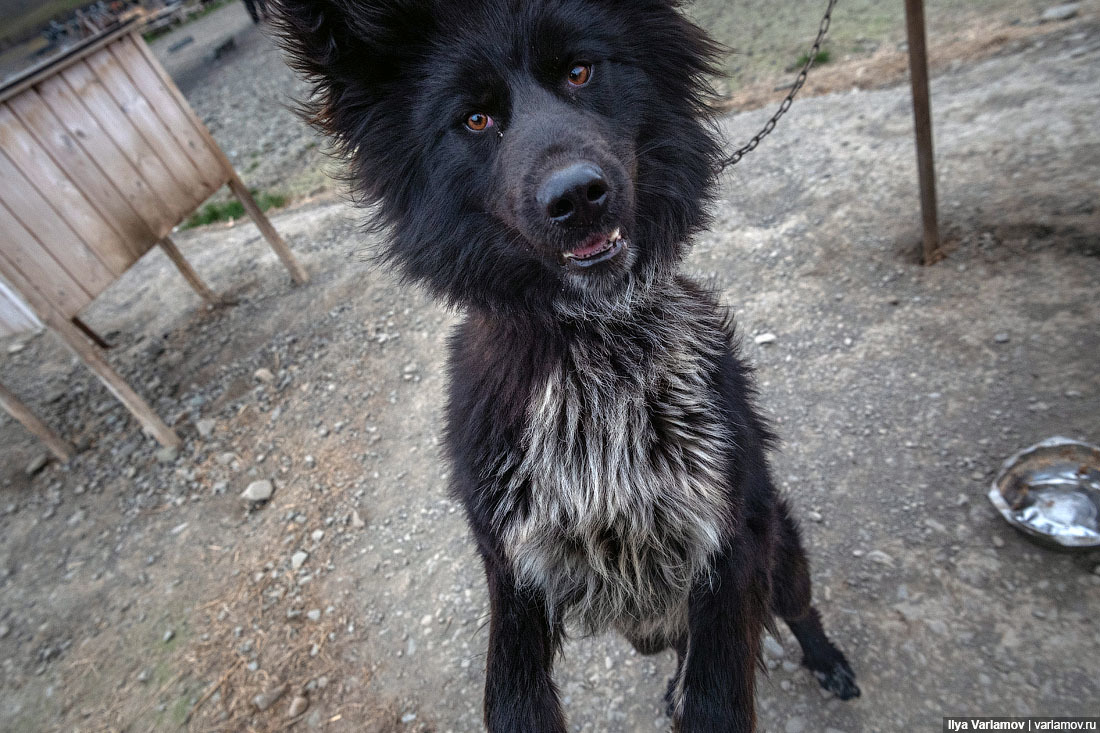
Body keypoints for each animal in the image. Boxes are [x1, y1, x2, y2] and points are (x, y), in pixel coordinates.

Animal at [272, 2, 858, 726]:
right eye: (475, 118)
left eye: (580, 72)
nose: (577, 196)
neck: (595, 351)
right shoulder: (515, 568)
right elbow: (509, 696)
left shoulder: (731, 541)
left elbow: (718, 697)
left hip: (781, 554)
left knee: (798, 606)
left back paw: (826, 659)